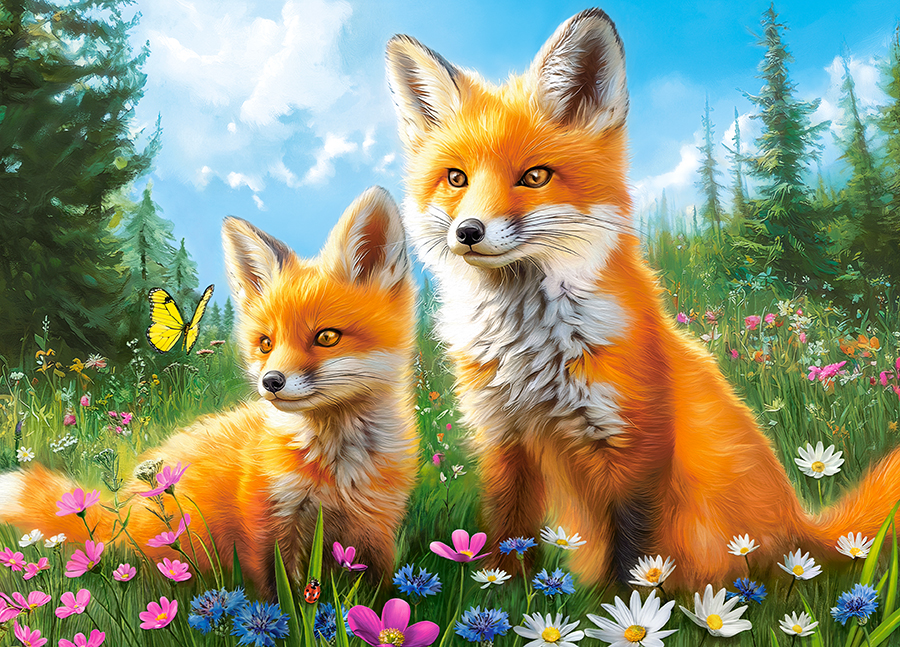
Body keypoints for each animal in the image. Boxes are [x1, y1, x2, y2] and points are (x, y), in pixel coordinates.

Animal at [0, 186, 418, 596]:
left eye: (327, 337)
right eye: (266, 343)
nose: (271, 382)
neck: (337, 470)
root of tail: (125, 507)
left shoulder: (378, 524)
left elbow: (382, 590)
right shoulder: (266, 518)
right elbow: (278, 594)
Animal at [385, 9, 900, 588]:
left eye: (535, 177)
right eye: (456, 178)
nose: (468, 232)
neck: (529, 355)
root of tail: (801, 526)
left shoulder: (636, 445)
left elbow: (633, 558)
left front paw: (625, 605)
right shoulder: (503, 441)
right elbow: (507, 540)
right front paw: (502, 593)